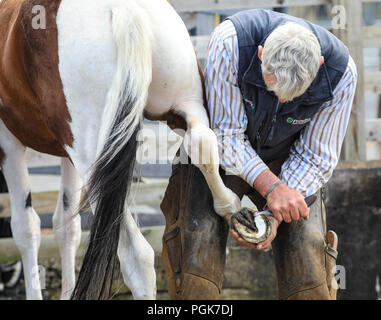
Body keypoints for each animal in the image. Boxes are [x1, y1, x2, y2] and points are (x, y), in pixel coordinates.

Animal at [0, 0, 243, 300]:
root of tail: (122, 7)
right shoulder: (66, 153)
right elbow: (66, 225)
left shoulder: (9, 142)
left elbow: (26, 228)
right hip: (184, 104)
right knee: (203, 143)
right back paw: (229, 205)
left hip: (93, 160)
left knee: (137, 258)